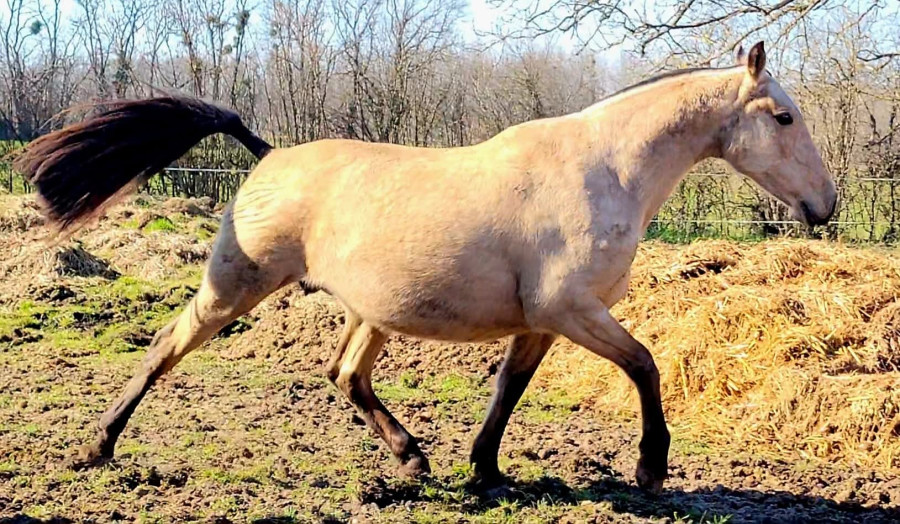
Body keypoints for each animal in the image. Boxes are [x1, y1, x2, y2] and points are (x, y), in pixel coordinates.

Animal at [16, 41, 836, 494]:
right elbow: (645, 365)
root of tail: (268, 154)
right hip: (234, 285)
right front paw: (651, 469)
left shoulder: (542, 322)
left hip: (373, 310)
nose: (826, 206)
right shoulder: (572, 310)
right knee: (165, 347)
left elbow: (509, 390)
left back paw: (412, 458)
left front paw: (484, 469)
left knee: (346, 374)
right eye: (784, 117)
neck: (605, 168)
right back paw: (98, 446)